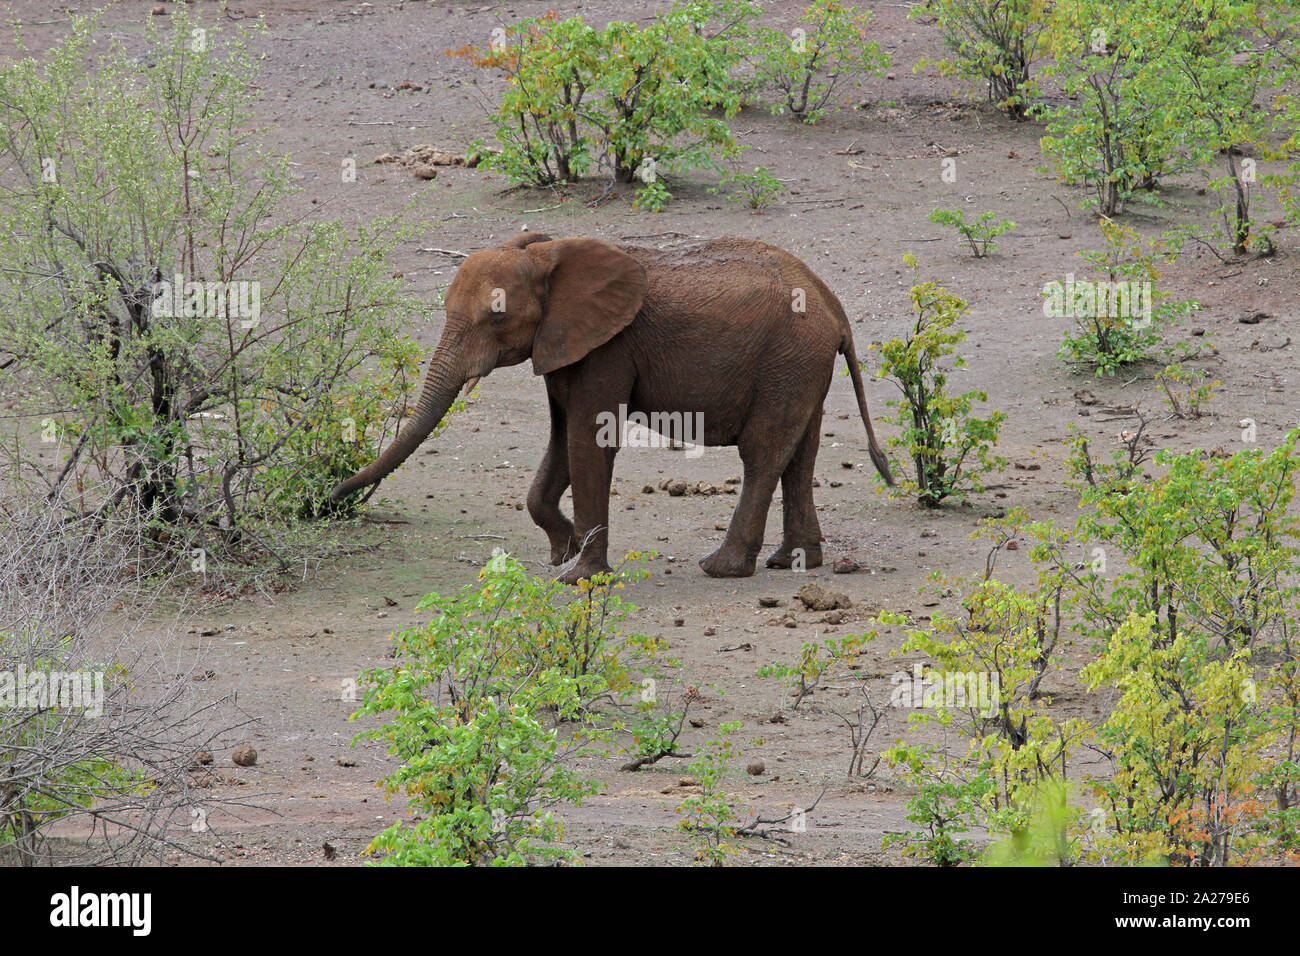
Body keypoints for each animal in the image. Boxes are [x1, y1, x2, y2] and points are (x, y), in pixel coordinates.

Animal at [330, 234, 889, 582]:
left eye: (497, 317)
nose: (331, 497)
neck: (549, 255)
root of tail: (836, 307)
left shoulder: (608, 348)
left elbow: (588, 439)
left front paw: (579, 575)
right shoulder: (564, 345)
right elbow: (561, 438)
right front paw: (564, 552)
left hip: (787, 358)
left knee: (763, 452)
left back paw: (721, 567)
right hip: (801, 364)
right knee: (800, 454)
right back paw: (791, 562)